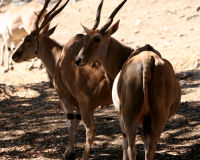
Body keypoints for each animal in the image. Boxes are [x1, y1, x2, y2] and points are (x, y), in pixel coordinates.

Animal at [12, 0, 112, 159]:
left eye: (28, 39)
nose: (14, 56)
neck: (60, 57)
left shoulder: (65, 97)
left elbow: (70, 121)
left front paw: (69, 152)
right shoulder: (77, 103)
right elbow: (75, 121)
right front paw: (70, 150)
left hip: (87, 104)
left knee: (91, 129)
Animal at [74, 0, 180, 159]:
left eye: (97, 38)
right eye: (85, 38)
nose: (78, 60)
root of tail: (148, 59)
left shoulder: (120, 114)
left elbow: (124, 143)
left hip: (131, 117)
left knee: (131, 148)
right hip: (158, 119)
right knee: (150, 149)